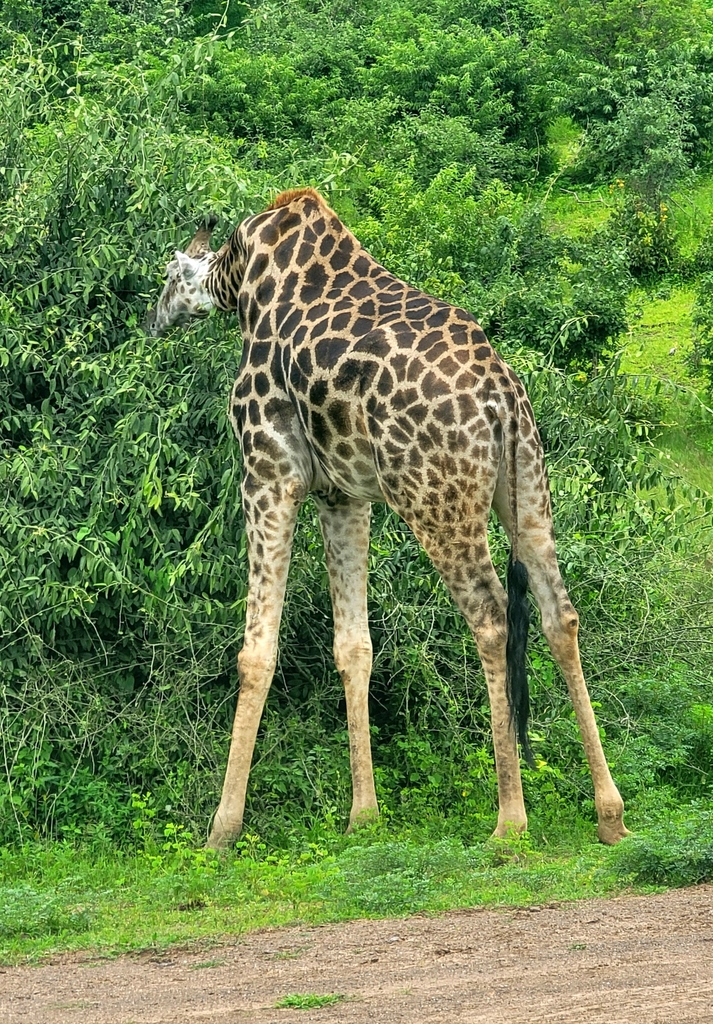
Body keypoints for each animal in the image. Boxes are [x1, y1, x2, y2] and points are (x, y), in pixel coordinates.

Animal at [147, 187, 629, 850]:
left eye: (168, 276)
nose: (153, 320)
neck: (241, 276)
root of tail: (500, 397)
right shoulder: (342, 494)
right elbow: (354, 645)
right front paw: (363, 815)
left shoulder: (269, 472)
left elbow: (255, 651)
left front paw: (223, 829)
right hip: (527, 488)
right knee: (561, 615)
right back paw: (610, 813)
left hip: (435, 499)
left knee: (491, 619)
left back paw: (509, 821)